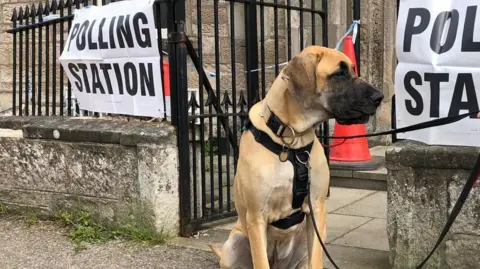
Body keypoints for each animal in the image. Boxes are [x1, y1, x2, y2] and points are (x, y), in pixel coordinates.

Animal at [208, 45, 384, 266]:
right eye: (339, 73)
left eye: (353, 69)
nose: (380, 97)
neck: (290, 142)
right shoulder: (256, 218)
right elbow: (260, 262)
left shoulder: (317, 209)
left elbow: (316, 259)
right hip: (235, 242)